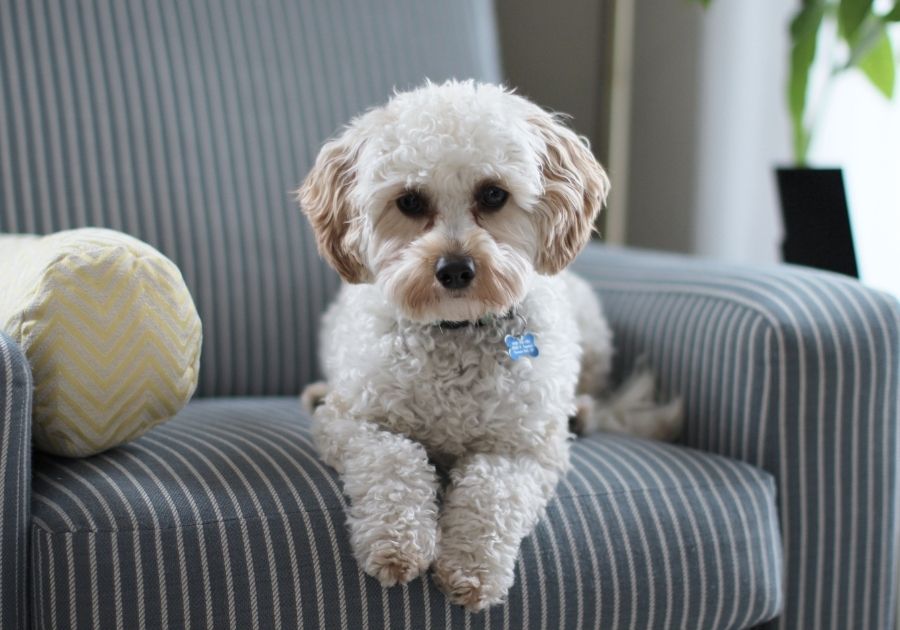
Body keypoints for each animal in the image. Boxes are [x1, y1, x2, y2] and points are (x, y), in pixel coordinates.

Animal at [298, 79, 680, 612]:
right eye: (410, 202)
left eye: (494, 194)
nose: (455, 269)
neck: (455, 330)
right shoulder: (354, 422)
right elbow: (395, 461)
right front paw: (397, 542)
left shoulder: (522, 449)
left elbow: (491, 493)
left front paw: (471, 567)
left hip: (591, 333)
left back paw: (581, 412)